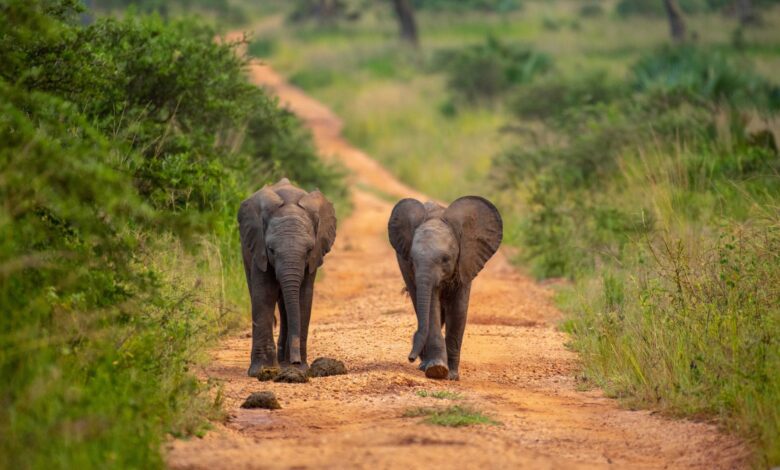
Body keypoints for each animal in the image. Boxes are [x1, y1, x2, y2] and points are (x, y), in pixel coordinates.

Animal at [238, 178, 336, 377]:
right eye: (271, 249)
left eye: (308, 250)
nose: (296, 361)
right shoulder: (259, 249)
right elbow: (264, 294)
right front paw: (262, 371)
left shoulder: (313, 258)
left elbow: (303, 296)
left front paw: (297, 369)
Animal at [388, 196, 502, 380]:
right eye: (412, 260)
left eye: (446, 259)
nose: (410, 358)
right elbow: (431, 309)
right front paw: (437, 369)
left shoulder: (466, 262)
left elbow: (458, 310)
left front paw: (452, 375)